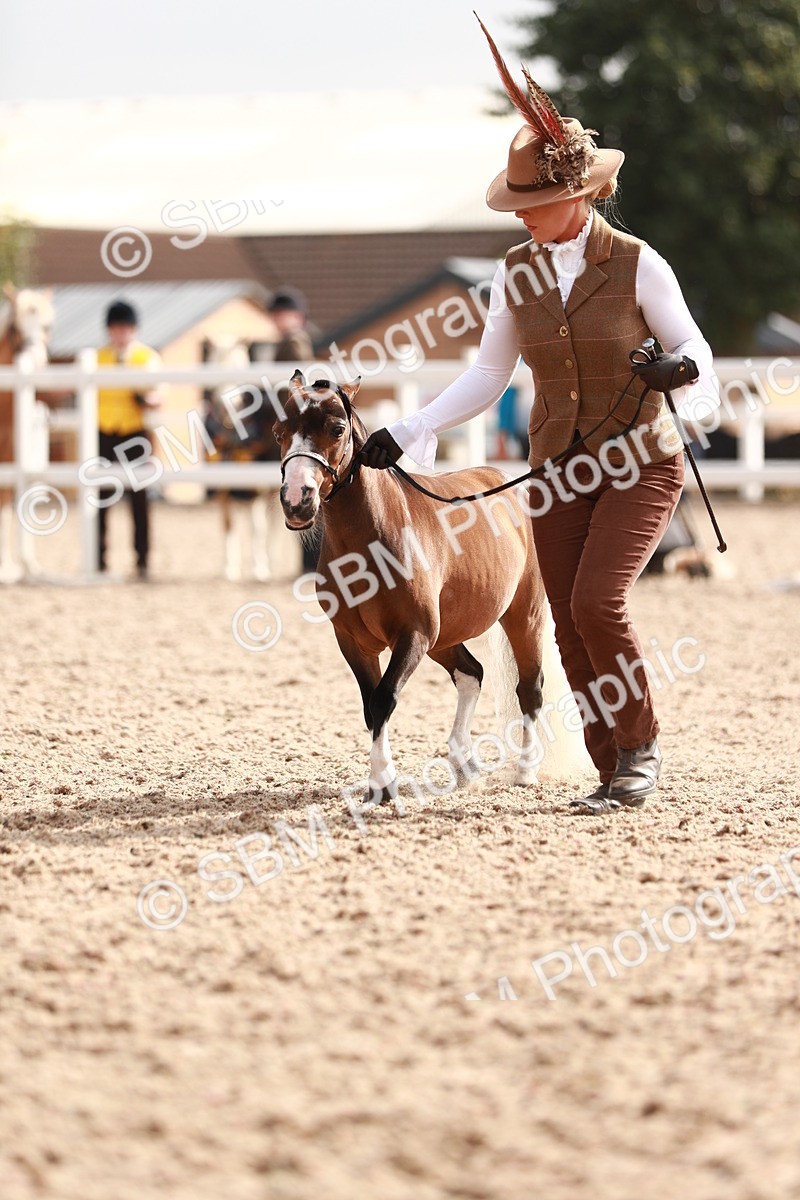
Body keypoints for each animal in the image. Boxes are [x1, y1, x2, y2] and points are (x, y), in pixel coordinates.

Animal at [202, 336, 279, 582]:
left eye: (239, 369)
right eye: (212, 369)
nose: (227, 409)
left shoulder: (258, 488)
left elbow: (258, 529)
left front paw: (259, 569)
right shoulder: (224, 489)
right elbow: (229, 525)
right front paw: (230, 568)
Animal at [276, 370, 583, 804]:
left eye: (336, 429)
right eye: (278, 432)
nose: (296, 500)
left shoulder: (414, 633)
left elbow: (384, 698)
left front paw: (384, 783)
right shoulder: (353, 641)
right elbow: (370, 705)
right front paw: (380, 782)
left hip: (524, 617)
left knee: (530, 689)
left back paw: (525, 772)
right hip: (445, 637)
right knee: (472, 674)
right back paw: (465, 764)